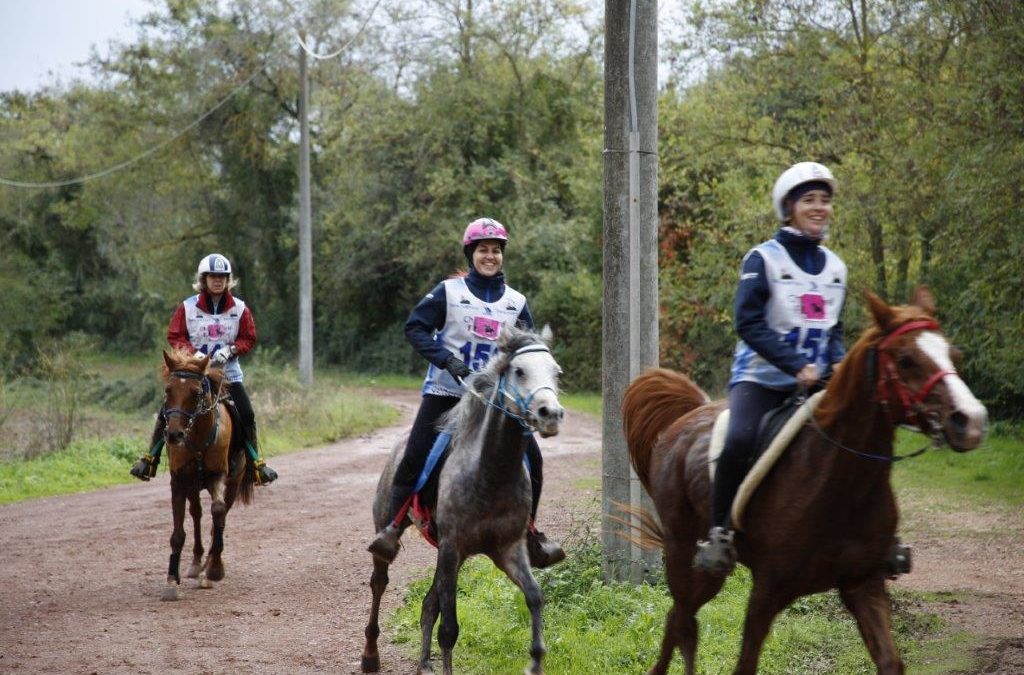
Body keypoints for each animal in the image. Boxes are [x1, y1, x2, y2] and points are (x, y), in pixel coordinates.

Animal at [161, 350, 256, 598]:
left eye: (195, 393)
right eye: (168, 390)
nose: (174, 434)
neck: (197, 437)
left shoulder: (218, 476)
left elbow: (218, 511)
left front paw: (214, 569)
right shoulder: (179, 481)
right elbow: (178, 533)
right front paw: (171, 581)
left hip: (232, 482)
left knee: (217, 518)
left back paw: (208, 565)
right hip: (193, 486)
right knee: (196, 514)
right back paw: (196, 563)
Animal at [618, 288, 987, 675]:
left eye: (953, 354)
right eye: (905, 359)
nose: (971, 420)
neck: (842, 484)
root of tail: (684, 420)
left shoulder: (863, 584)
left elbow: (890, 661)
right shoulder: (768, 590)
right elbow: (745, 664)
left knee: (680, 621)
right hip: (686, 556)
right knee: (680, 620)